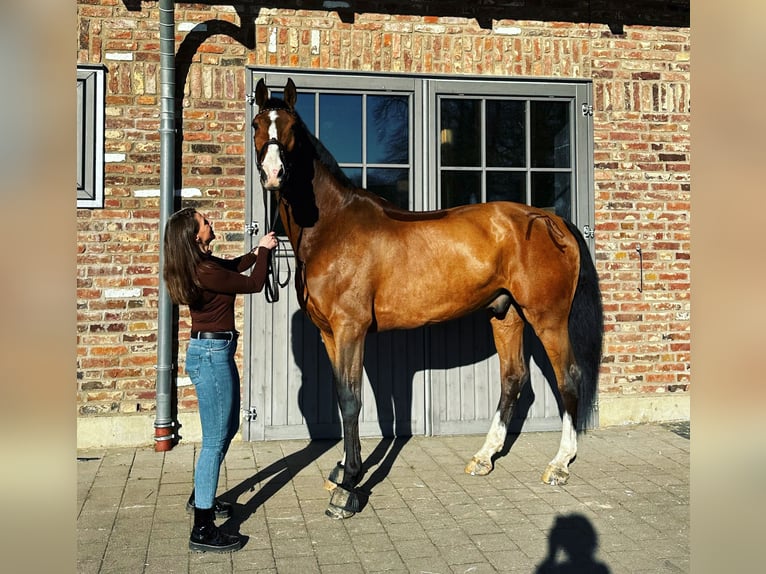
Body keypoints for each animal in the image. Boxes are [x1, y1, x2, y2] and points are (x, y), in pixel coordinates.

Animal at [255, 77, 604, 520]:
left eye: (292, 130)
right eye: (256, 125)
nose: (273, 174)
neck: (334, 226)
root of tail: (548, 218)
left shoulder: (351, 330)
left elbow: (351, 401)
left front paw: (349, 487)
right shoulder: (329, 334)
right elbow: (340, 398)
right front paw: (341, 470)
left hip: (548, 318)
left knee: (569, 377)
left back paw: (559, 464)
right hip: (506, 315)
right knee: (513, 379)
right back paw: (484, 456)